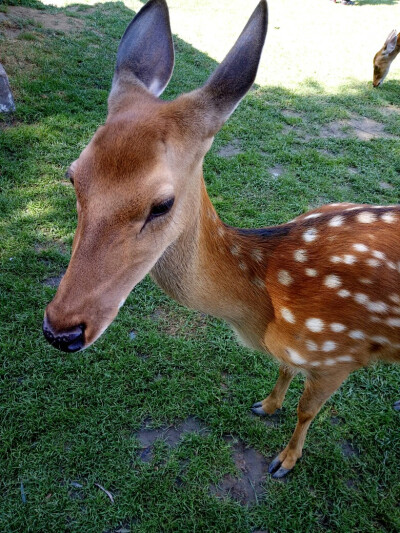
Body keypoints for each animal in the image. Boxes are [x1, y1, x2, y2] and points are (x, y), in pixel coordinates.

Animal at [43, 0, 400, 478]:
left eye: (162, 204)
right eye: (73, 175)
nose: (60, 330)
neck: (265, 307)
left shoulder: (338, 355)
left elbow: (307, 410)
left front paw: (285, 461)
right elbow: (284, 372)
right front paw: (266, 405)